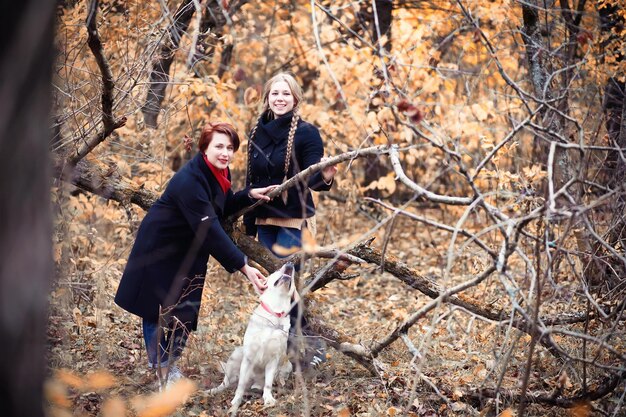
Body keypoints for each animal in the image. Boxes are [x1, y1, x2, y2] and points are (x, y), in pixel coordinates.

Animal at [207, 262, 294, 412]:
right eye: (276, 270)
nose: (290, 264)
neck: (274, 313)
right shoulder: (248, 358)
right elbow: (240, 386)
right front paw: (235, 402)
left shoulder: (273, 359)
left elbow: (268, 384)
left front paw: (268, 399)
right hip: (236, 354)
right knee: (226, 382)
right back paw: (212, 391)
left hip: (288, 365)